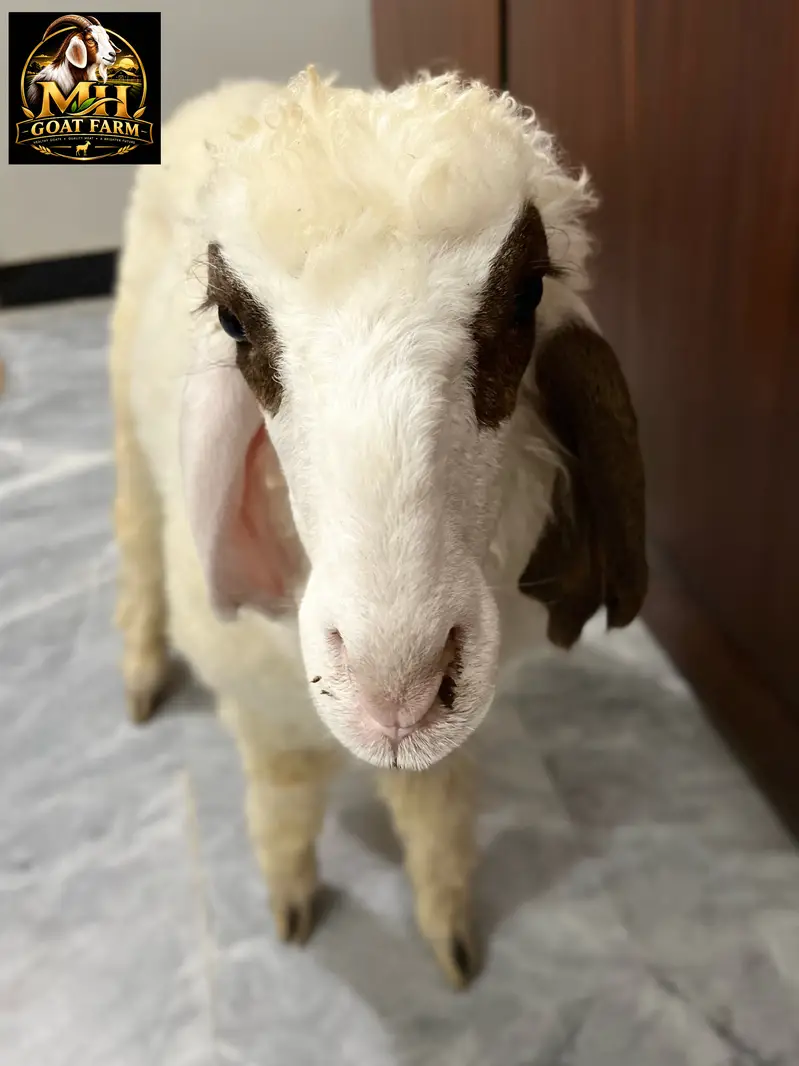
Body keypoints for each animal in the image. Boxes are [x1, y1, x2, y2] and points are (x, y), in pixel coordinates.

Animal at [109, 69, 647, 987]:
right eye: (233, 322)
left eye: (528, 292)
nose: (397, 684)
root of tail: (232, 85)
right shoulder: (262, 703)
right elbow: (286, 796)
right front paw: (290, 899)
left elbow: (435, 805)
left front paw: (450, 933)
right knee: (136, 537)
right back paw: (143, 672)